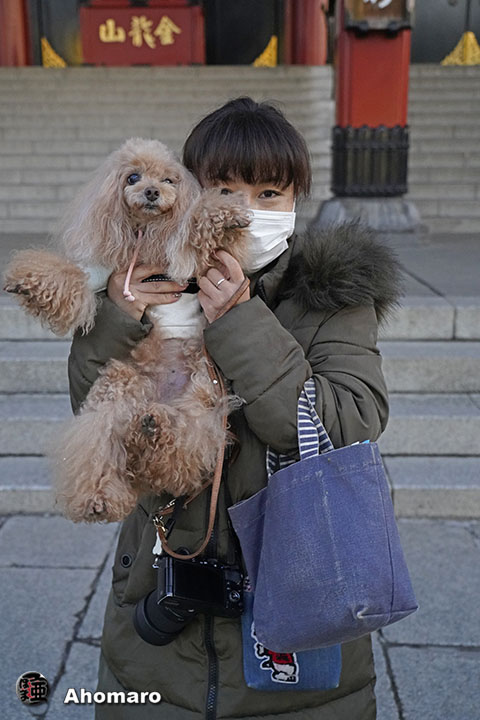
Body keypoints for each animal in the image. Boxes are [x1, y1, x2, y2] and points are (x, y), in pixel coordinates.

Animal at [4, 138, 251, 522]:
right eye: (133, 176)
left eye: (169, 180)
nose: (151, 191)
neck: (144, 233)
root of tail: (157, 399)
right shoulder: (101, 270)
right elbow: (72, 278)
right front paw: (26, 284)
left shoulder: (197, 262)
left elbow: (199, 229)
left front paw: (225, 214)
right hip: (119, 386)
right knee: (101, 440)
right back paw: (102, 492)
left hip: (201, 395)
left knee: (186, 449)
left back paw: (155, 433)